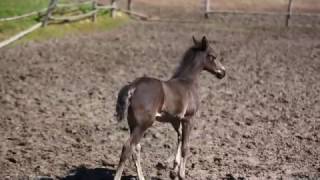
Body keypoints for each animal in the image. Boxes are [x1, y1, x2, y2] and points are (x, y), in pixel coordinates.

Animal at [114, 35, 226, 179]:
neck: (188, 82)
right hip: (143, 125)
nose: (222, 72)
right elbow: (185, 146)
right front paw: (181, 174)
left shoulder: (175, 120)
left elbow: (179, 137)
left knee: (136, 149)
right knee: (128, 147)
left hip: (133, 124)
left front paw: (174, 170)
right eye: (213, 56)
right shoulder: (189, 118)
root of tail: (133, 86)